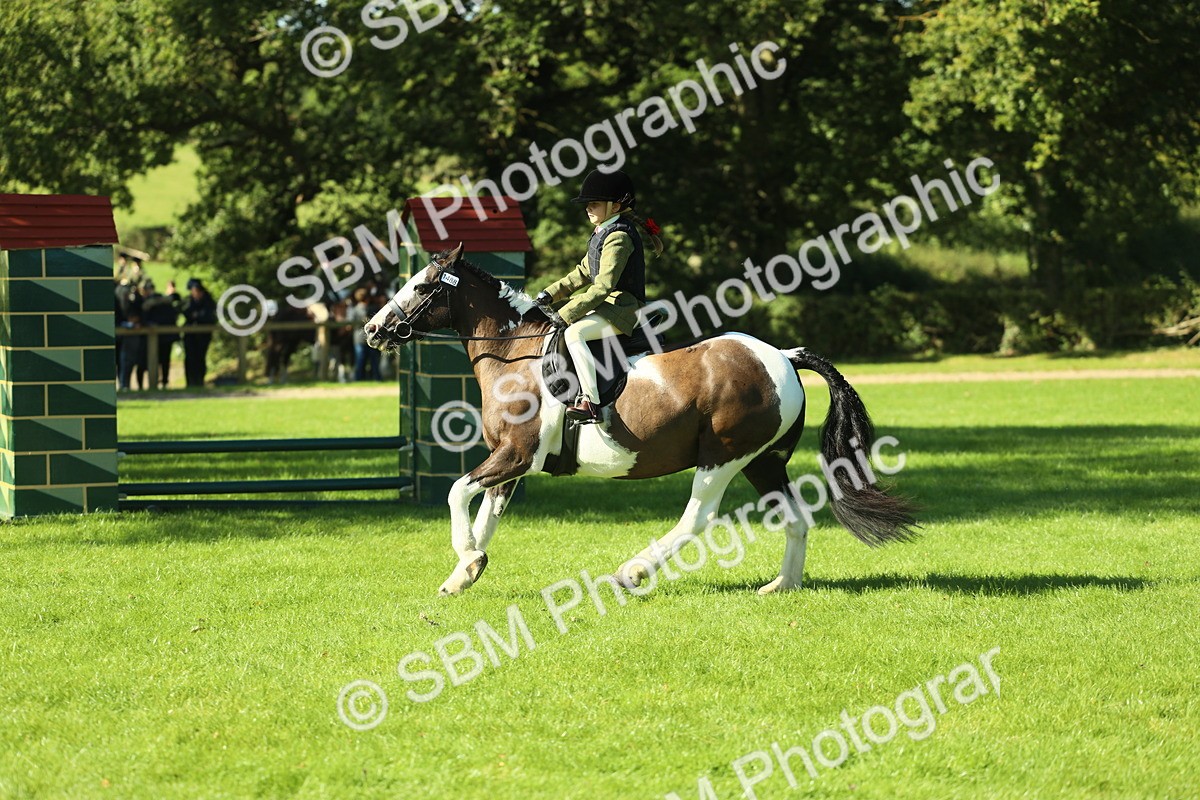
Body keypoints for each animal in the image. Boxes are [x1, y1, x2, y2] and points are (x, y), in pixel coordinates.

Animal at [364, 244, 917, 596]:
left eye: (421, 286)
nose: (373, 330)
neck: (514, 357)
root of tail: (781, 355)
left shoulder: (515, 455)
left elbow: (458, 492)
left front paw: (467, 559)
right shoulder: (511, 461)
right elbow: (486, 515)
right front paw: (465, 571)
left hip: (723, 456)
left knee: (698, 517)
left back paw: (631, 573)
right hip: (765, 461)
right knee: (796, 518)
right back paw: (782, 585)